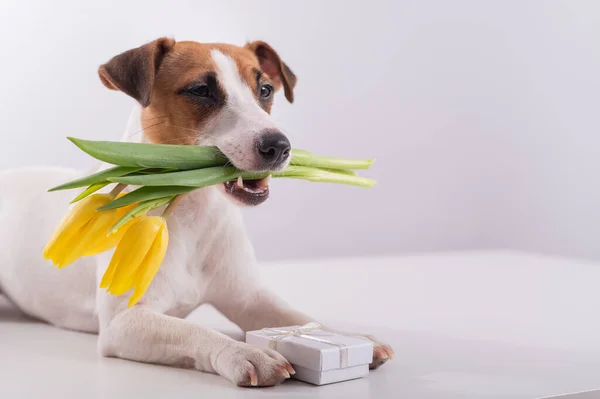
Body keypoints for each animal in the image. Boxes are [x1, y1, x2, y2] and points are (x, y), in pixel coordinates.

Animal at [0, 37, 394, 388]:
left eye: (265, 89)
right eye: (201, 90)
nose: (279, 146)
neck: (193, 213)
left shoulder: (249, 297)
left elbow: (298, 317)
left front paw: (343, 335)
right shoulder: (123, 323)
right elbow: (194, 330)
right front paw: (242, 352)